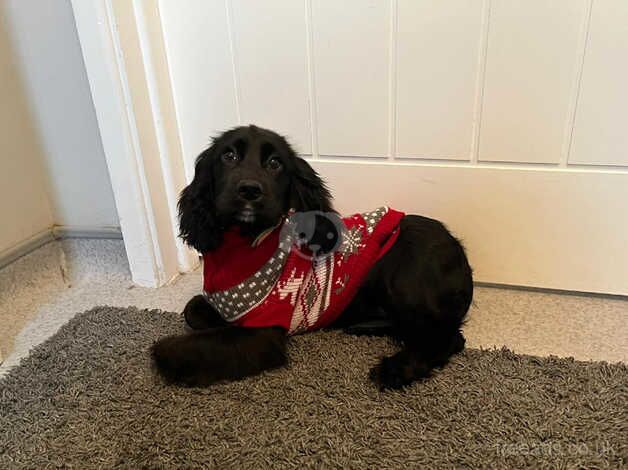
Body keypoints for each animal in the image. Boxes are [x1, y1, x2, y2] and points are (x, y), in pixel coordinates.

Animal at [151, 124, 472, 390]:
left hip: (404, 281)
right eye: (228, 156)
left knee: (448, 337)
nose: (249, 190)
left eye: (275, 163)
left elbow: (180, 347)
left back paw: (395, 369)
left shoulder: (264, 332)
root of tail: (459, 249)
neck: (243, 243)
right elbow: (193, 308)